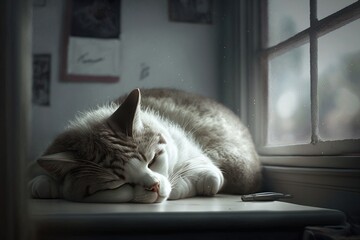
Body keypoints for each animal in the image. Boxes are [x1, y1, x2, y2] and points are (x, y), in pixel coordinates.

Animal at [26, 88, 260, 202]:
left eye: (153, 160)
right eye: (117, 185)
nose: (154, 186)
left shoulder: (200, 160)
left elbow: (209, 178)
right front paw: (46, 183)